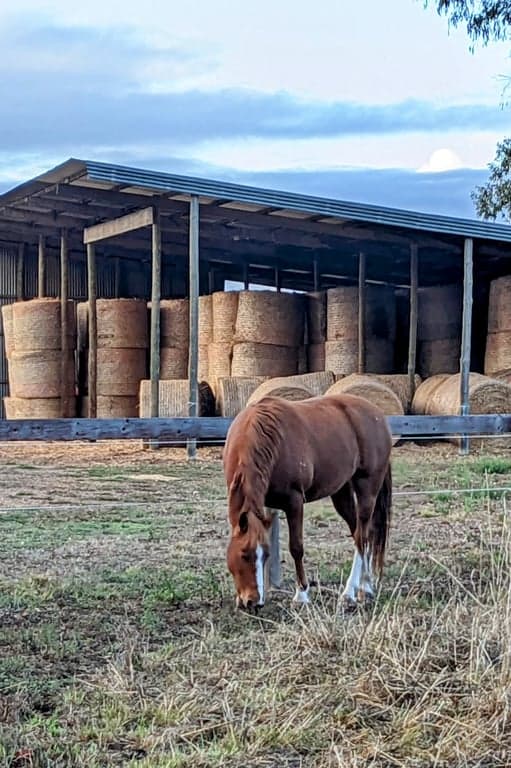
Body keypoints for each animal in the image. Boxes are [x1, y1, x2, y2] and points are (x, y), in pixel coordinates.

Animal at [223, 393, 393, 611]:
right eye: (244, 554)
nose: (253, 601)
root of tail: (378, 414)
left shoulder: (294, 502)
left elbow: (296, 547)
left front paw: (301, 594)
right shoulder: (266, 504)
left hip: (367, 488)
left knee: (362, 536)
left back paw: (349, 592)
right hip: (341, 493)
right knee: (362, 534)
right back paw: (366, 586)